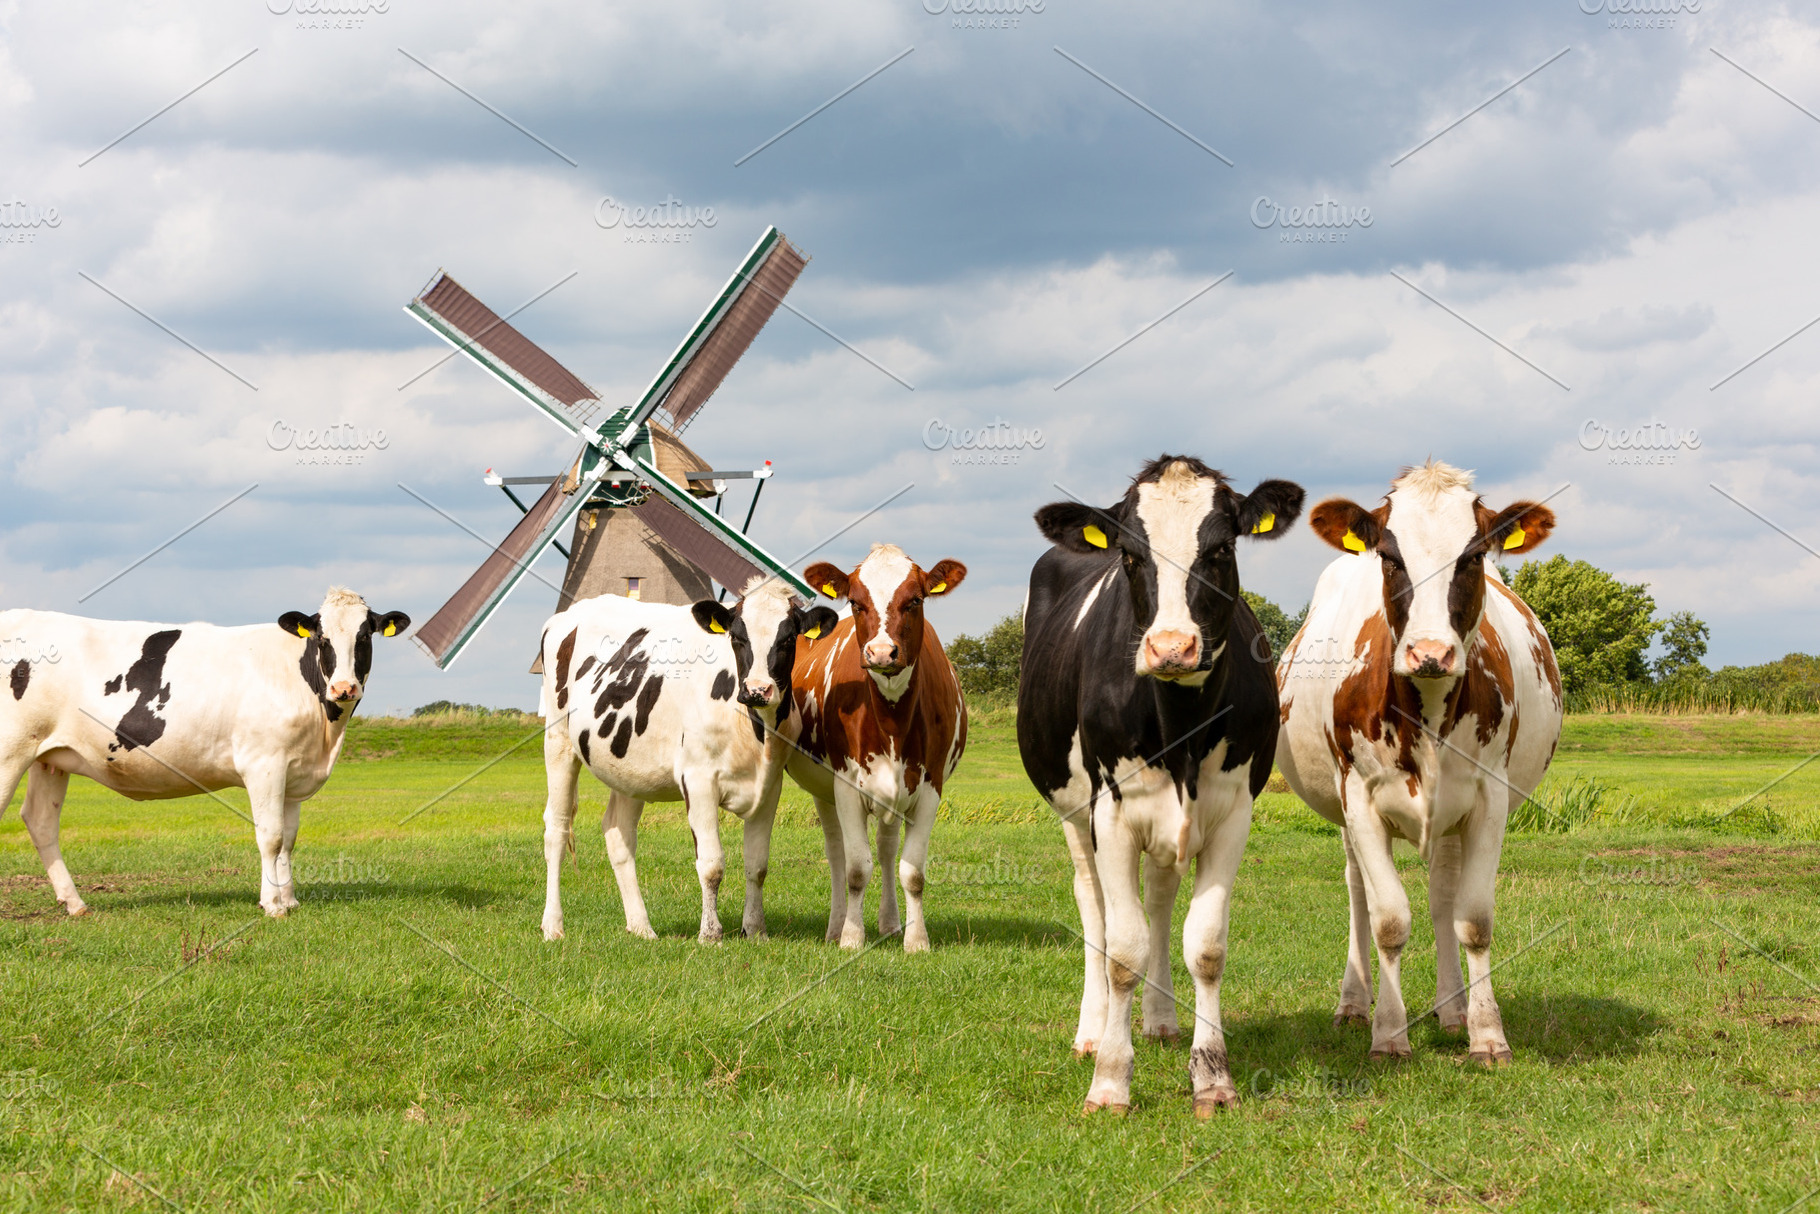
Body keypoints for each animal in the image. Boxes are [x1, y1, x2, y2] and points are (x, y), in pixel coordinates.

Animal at [0, 587, 410, 917]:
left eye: (364, 636)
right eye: (322, 639)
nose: (344, 687)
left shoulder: (294, 771)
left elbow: (289, 839)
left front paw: (290, 899)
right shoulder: (264, 764)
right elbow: (271, 836)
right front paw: (273, 905)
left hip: (49, 758)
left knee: (40, 820)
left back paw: (75, 904)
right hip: (11, 752)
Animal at [537, 577, 837, 943]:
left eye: (789, 639)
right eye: (737, 638)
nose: (757, 690)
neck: (755, 729)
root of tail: (568, 614)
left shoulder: (770, 785)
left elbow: (757, 865)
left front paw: (755, 930)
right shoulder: (698, 780)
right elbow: (711, 865)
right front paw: (710, 934)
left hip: (627, 766)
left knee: (618, 833)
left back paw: (641, 926)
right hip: (558, 741)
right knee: (557, 829)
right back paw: (553, 925)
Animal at [783, 545, 968, 954]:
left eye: (915, 600)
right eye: (855, 602)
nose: (882, 653)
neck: (891, 720)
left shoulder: (929, 788)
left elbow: (912, 871)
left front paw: (917, 940)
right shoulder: (845, 785)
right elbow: (855, 868)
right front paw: (851, 937)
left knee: (885, 850)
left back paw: (890, 924)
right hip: (824, 790)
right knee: (837, 853)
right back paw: (836, 926)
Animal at [1017, 456, 1305, 1117]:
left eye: (1222, 548)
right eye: (1128, 554)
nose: (1172, 647)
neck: (1181, 728)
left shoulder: (1233, 812)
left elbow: (1205, 944)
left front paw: (1213, 1077)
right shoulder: (1111, 813)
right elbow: (1123, 950)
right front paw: (1110, 1081)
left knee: (1158, 901)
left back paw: (1159, 1020)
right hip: (1074, 815)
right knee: (1095, 908)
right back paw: (1093, 1031)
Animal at [1275, 459, 1561, 1066]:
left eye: (1474, 557)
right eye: (1390, 557)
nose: (1430, 653)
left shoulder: (1490, 799)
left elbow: (1472, 919)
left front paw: (1486, 1033)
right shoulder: (1359, 799)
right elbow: (1388, 920)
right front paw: (1389, 1033)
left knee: (1441, 894)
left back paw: (1452, 1010)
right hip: (1344, 815)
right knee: (1359, 893)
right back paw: (1353, 1005)